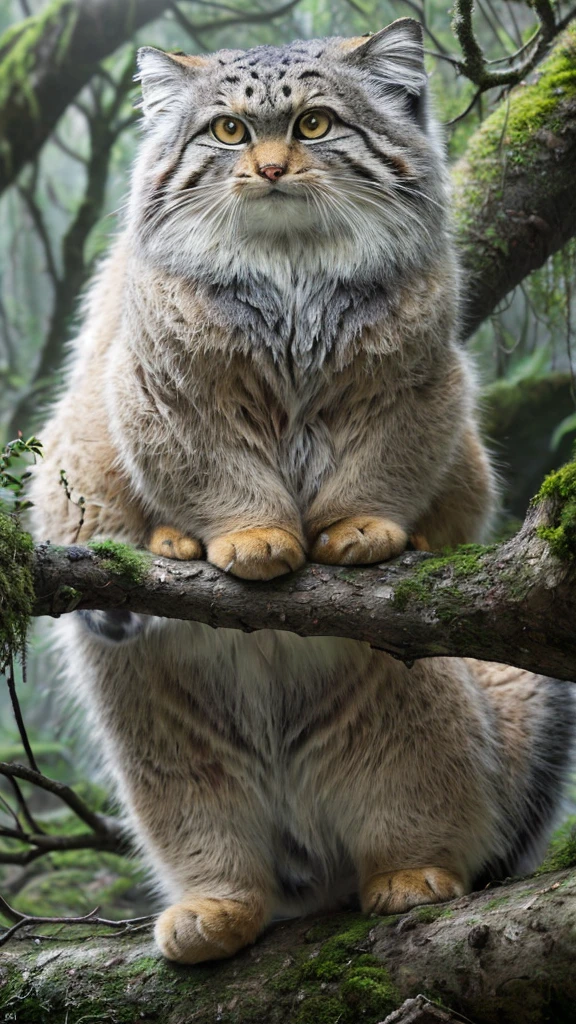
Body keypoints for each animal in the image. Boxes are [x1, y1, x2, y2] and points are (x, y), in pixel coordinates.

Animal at [31, 19, 569, 962]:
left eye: (315, 124)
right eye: (228, 131)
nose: (272, 169)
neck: (290, 279)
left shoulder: (418, 393)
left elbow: (385, 469)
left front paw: (361, 527)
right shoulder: (169, 395)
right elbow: (220, 474)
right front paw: (249, 536)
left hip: (416, 728)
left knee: (417, 816)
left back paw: (410, 875)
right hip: (171, 756)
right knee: (213, 837)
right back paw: (216, 905)